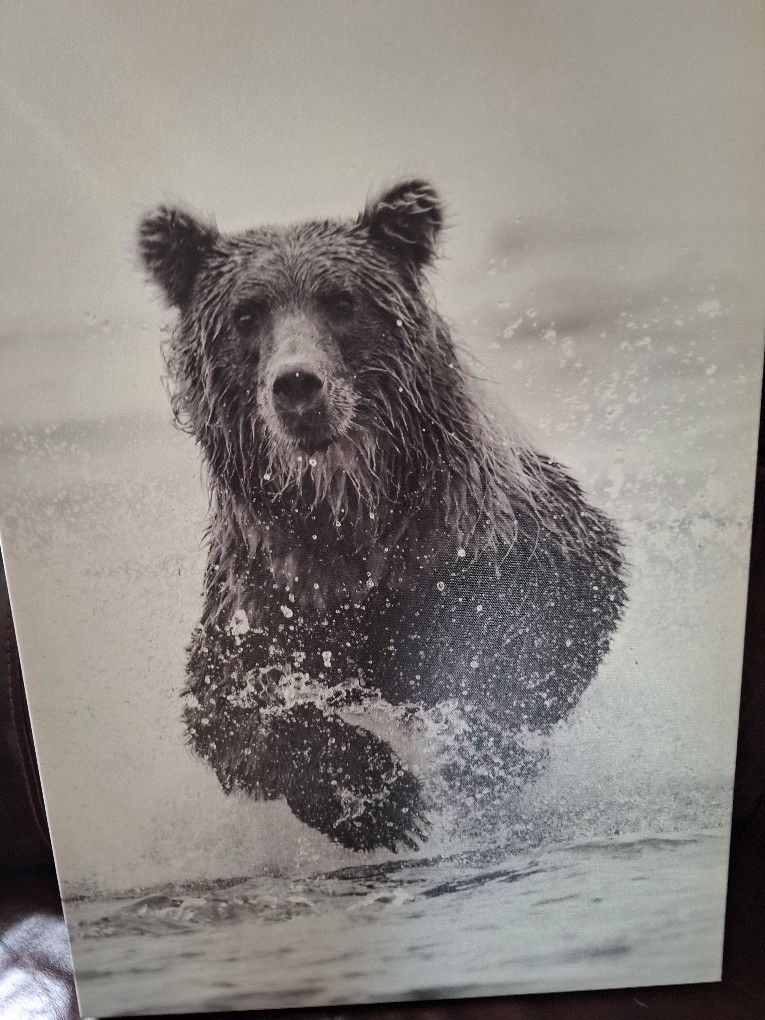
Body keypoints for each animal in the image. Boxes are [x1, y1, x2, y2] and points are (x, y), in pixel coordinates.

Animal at [138, 180, 626, 853]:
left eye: (341, 300)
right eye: (247, 313)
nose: (297, 385)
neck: (345, 509)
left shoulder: (484, 533)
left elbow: (528, 631)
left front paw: (472, 757)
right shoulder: (267, 593)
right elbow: (236, 709)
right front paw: (381, 800)